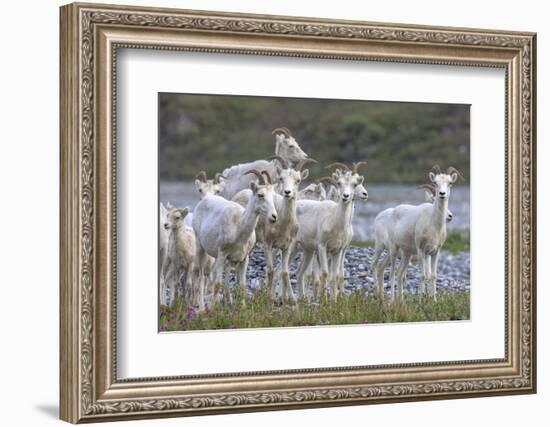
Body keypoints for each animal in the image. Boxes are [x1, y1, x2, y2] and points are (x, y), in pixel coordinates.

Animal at [194, 170, 280, 308]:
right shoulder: (222, 254)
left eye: (273, 196)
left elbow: (242, 285)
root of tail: (205, 200)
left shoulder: (244, 258)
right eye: (260, 195)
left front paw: (242, 308)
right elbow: (217, 283)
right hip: (200, 247)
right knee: (202, 276)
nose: (274, 216)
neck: (238, 226)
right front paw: (212, 308)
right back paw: (202, 307)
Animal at [374, 166, 464, 302]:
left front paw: (434, 300)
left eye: (450, 183)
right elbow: (423, 275)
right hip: (392, 249)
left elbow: (432, 275)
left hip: (406, 254)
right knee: (391, 273)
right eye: (435, 183)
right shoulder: (422, 251)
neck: (434, 225)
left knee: (397, 273)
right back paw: (391, 301)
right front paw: (421, 301)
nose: (442, 194)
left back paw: (398, 302)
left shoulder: (435, 252)